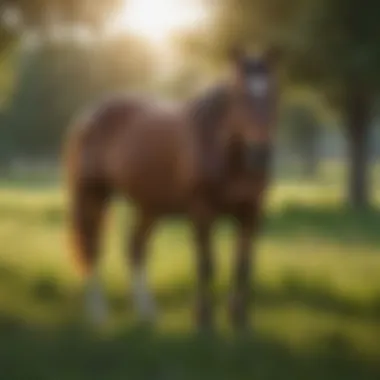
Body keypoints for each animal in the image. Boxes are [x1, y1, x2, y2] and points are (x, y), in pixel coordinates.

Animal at [63, 46, 280, 330]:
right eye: (240, 97)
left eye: (274, 96)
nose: (260, 154)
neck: (225, 155)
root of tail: (88, 118)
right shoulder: (202, 212)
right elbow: (206, 264)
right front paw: (204, 319)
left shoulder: (251, 214)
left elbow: (243, 266)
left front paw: (239, 319)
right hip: (93, 195)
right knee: (92, 248)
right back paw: (98, 314)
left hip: (149, 208)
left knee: (135, 249)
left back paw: (147, 313)